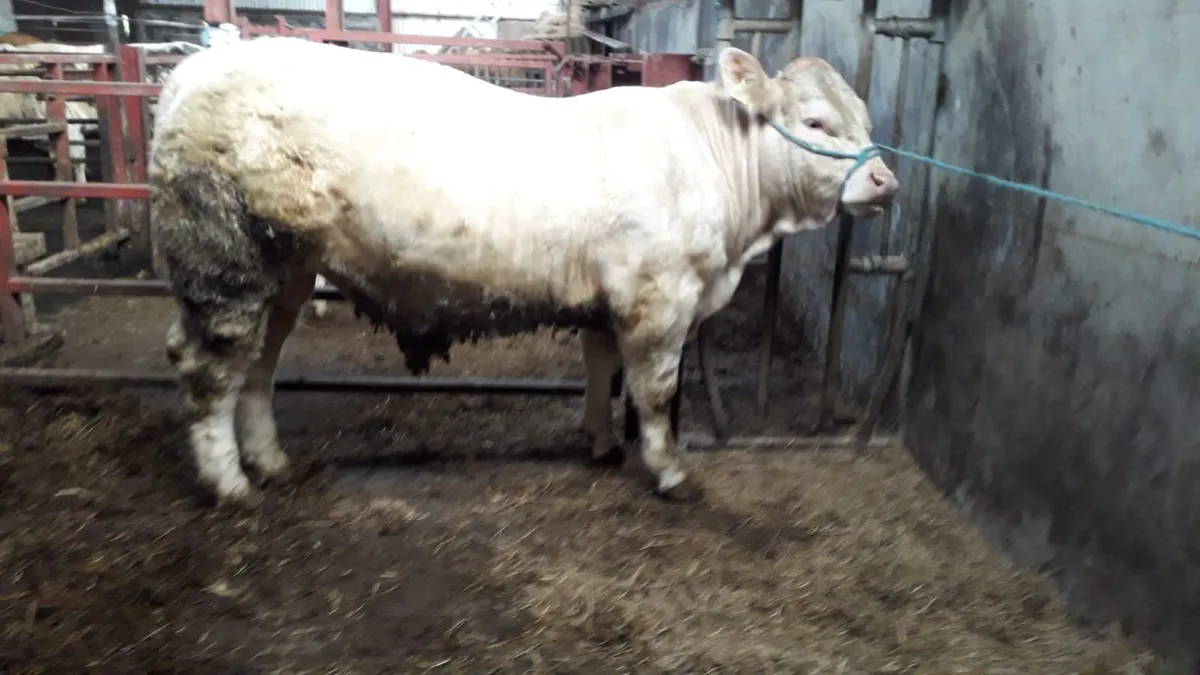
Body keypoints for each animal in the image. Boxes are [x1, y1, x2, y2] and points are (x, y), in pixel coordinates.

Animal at [148, 36, 898, 509]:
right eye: (816, 122)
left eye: (865, 120)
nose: (886, 180)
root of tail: (192, 73)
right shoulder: (659, 297)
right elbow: (656, 393)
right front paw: (669, 470)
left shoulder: (609, 299)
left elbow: (600, 367)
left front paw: (601, 441)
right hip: (228, 259)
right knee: (208, 365)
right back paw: (230, 485)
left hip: (288, 268)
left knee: (260, 363)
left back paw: (270, 462)